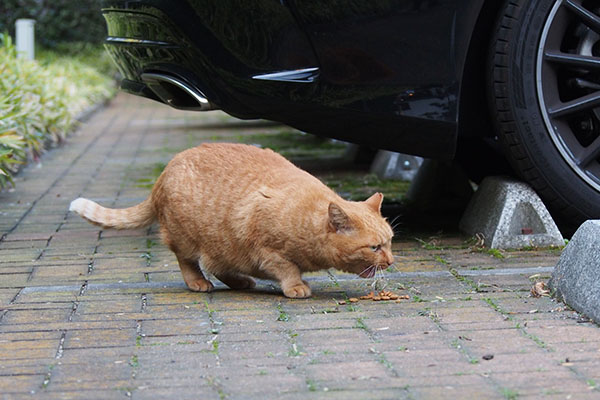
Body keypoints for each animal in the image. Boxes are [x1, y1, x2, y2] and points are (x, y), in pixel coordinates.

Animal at [69, 143, 394, 296]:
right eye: (374, 247)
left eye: (390, 242)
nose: (391, 261)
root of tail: (165, 171)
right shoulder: (266, 249)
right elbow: (287, 268)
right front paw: (296, 285)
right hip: (188, 239)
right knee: (190, 262)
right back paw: (198, 283)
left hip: (223, 244)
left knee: (218, 265)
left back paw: (240, 281)